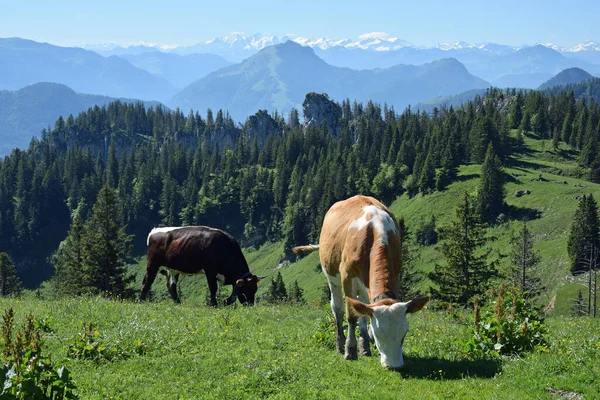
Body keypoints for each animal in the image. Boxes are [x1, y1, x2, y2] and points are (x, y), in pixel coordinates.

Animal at [294, 195, 426, 370]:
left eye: (404, 334)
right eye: (378, 335)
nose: (394, 366)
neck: (377, 233)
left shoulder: (397, 273)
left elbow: (364, 312)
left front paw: (364, 345)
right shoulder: (347, 277)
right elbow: (351, 315)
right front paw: (350, 351)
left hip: (363, 285)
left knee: (363, 307)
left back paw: (364, 347)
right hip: (332, 278)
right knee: (337, 309)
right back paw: (340, 344)